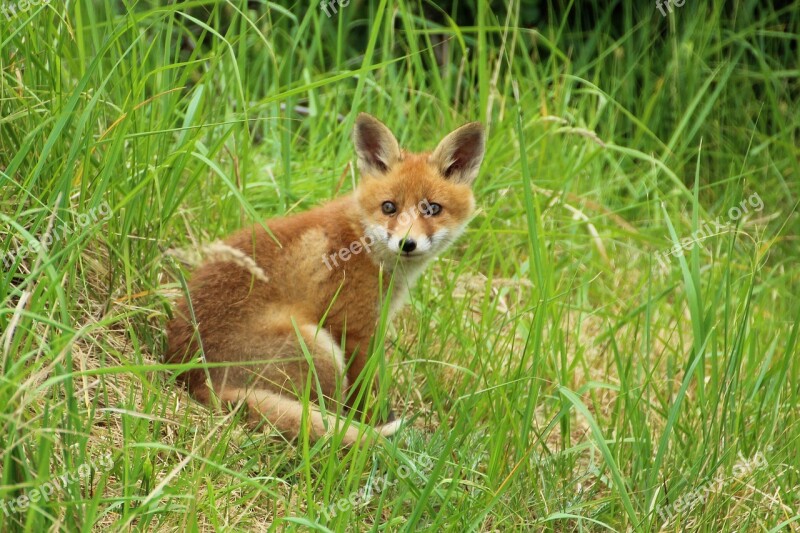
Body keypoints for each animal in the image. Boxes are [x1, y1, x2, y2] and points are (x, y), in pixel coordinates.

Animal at [166, 113, 484, 444]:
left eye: (432, 209)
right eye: (389, 207)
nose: (407, 243)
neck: (363, 242)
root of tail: (198, 380)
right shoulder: (354, 329)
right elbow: (364, 392)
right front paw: (373, 421)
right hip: (321, 348)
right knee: (326, 411)